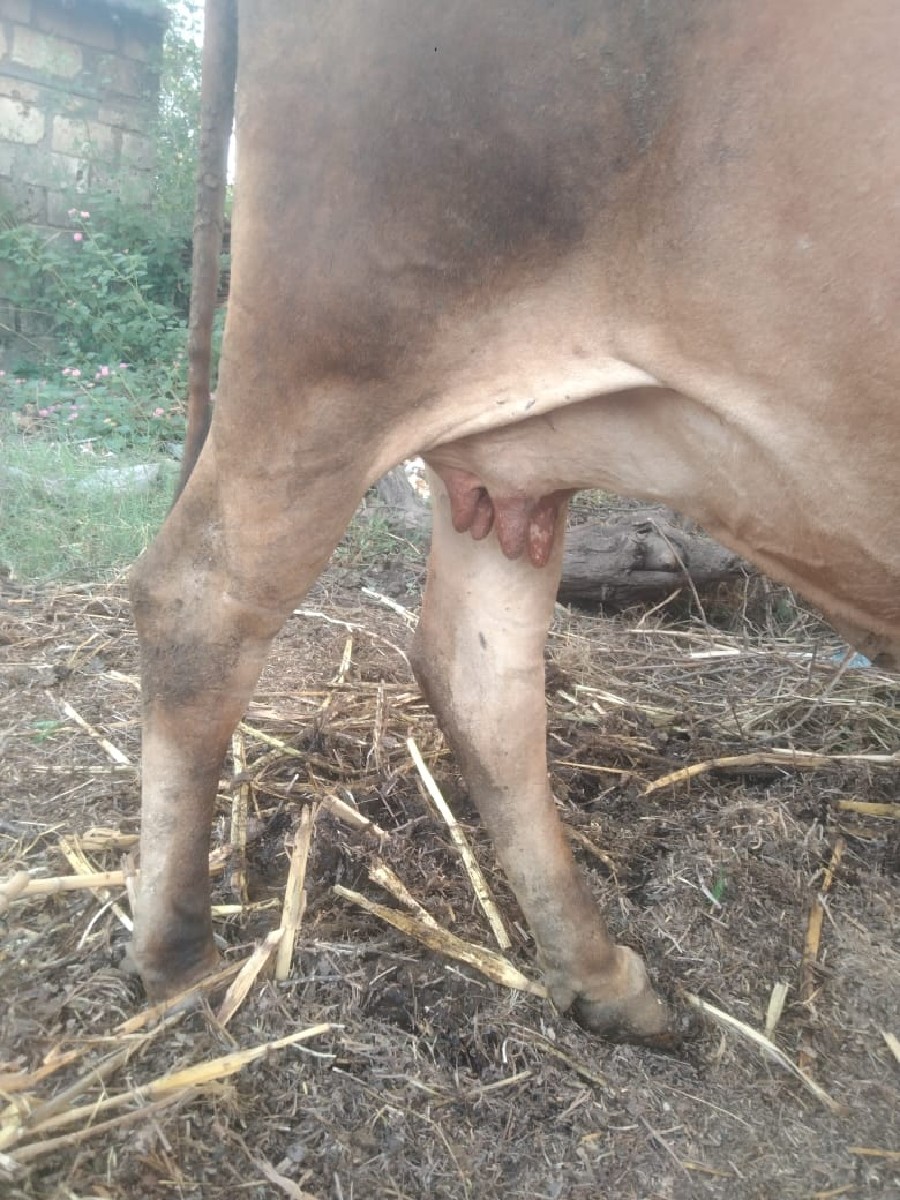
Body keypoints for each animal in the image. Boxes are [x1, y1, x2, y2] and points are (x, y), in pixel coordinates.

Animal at [129, 0, 900, 1045]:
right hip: (332, 356)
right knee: (197, 600)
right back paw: (178, 961)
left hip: (510, 452)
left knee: (476, 672)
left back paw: (602, 977)